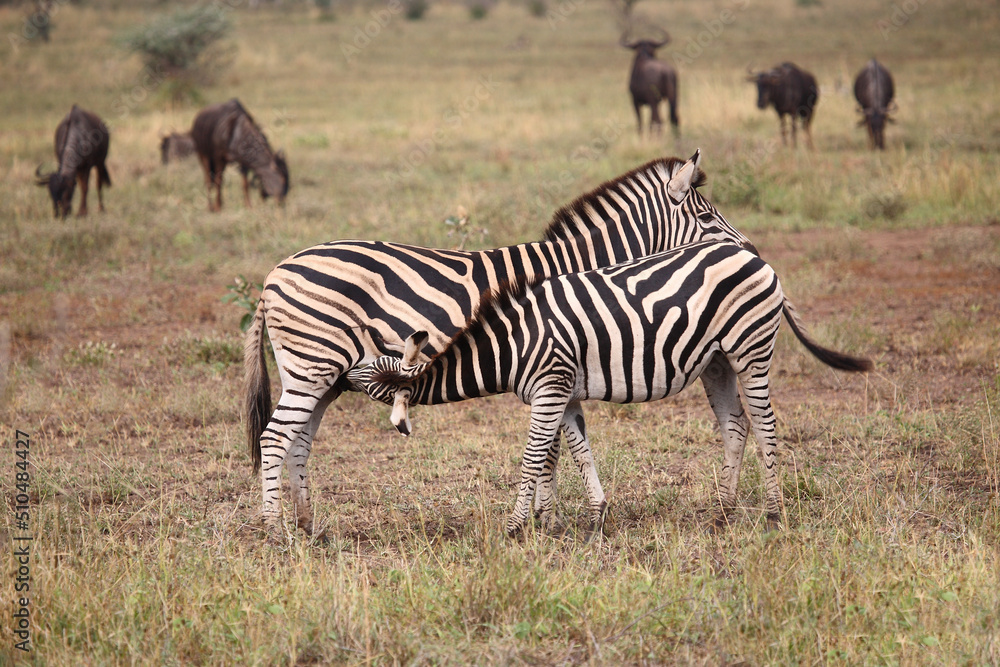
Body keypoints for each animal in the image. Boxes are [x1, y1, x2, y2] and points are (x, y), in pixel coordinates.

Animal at [246, 150, 752, 536]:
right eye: (707, 217)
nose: (748, 253)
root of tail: (274, 275)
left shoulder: (558, 362)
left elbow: (559, 443)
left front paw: (549, 517)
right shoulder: (555, 355)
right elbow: (552, 447)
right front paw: (546, 520)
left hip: (322, 375)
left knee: (299, 440)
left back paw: (309, 526)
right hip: (312, 366)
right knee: (274, 438)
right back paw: (275, 531)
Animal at [346, 241, 873, 536]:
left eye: (369, 379)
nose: (340, 375)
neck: (511, 344)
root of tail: (754, 257)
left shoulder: (550, 386)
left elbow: (534, 457)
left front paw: (515, 528)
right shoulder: (565, 392)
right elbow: (577, 451)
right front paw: (592, 517)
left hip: (750, 347)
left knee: (764, 424)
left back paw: (773, 515)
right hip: (716, 361)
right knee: (735, 425)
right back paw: (723, 514)